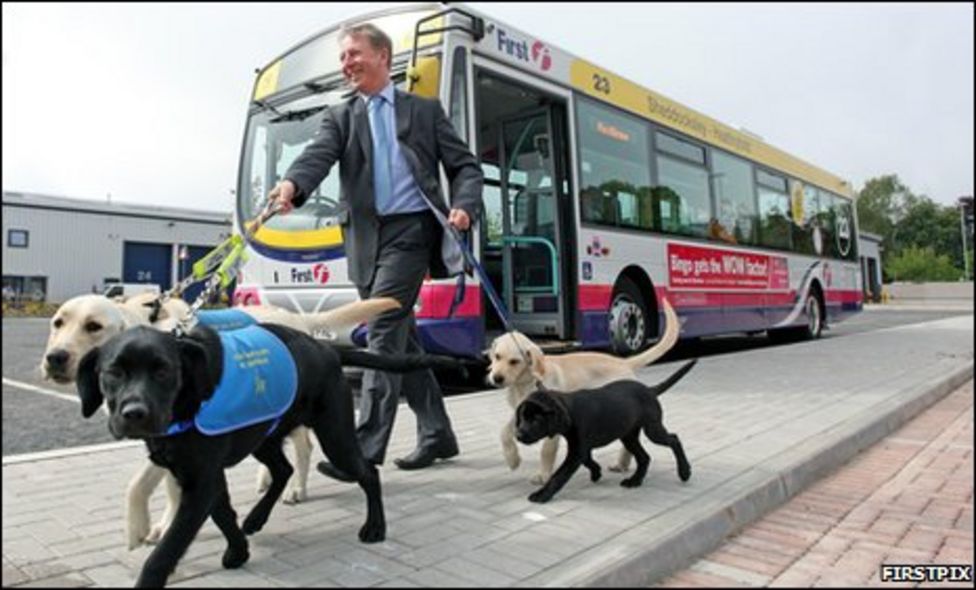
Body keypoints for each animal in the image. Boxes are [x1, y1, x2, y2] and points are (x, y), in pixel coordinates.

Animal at [41, 294, 400, 552]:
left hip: (324, 427)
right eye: (58, 322)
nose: (55, 358)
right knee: (280, 459)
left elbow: (143, 485)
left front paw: (150, 527)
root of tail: (305, 326)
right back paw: (264, 489)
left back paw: (300, 490)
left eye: (94, 326)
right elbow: (156, 484)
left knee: (309, 450)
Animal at [72, 324, 462, 588]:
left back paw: (375, 527)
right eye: (113, 372)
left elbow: (166, 550)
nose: (134, 413)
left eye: (164, 370)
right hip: (266, 436)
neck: (188, 400)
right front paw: (239, 551)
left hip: (334, 435)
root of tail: (326, 349)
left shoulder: (201, 482)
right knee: (284, 469)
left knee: (367, 472)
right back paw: (257, 517)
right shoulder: (202, 477)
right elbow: (224, 515)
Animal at [486, 298, 680, 484]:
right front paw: (512, 459)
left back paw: (622, 464)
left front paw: (543, 475)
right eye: (497, 356)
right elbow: (504, 432)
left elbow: (546, 450)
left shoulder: (551, 423)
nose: (496, 378)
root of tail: (624, 362)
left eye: (514, 361)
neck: (525, 382)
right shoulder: (521, 412)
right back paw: (622, 464)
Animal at [516, 360, 696, 504]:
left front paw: (542, 495)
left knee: (673, 439)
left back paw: (684, 472)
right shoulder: (581, 448)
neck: (570, 409)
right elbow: (588, 460)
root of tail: (650, 390)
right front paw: (596, 472)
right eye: (522, 417)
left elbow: (558, 476)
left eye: (536, 420)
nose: (518, 435)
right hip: (629, 436)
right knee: (644, 457)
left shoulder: (577, 451)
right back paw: (634, 481)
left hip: (652, 429)